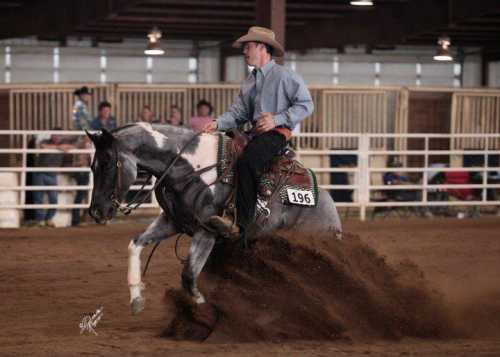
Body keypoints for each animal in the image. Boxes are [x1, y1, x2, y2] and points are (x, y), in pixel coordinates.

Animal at [87, 122, 344, 314]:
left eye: (108, 163)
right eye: (92, 166)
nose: (96, 211)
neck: (189, 168)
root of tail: (328, 204)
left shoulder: (207, 231)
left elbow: (189, 276)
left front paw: (203, 313)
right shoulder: (172, 222)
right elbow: (135, 244)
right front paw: (136, 299)